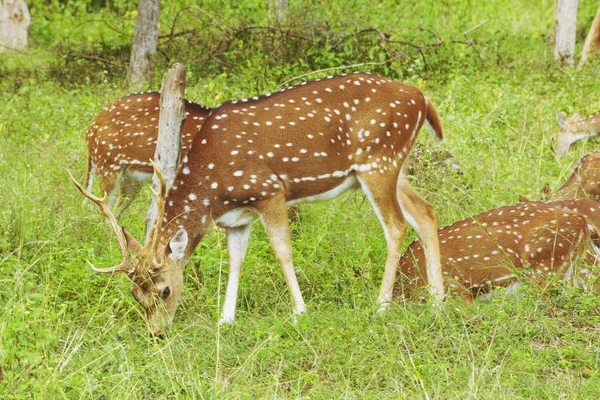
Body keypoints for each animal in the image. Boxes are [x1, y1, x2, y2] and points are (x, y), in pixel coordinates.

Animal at [71, 72, 446, 338]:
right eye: (136, 295)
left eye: (164, 290)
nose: (156, 334)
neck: (213, 188)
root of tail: (423, 98)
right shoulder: (238, 217)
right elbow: (236, 260)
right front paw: (226, 319)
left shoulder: (269, 191)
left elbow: (282, 251)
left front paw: (299, 312)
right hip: (395, 166)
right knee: (426, 212)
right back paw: (438, 301)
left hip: (378, 161)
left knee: (396, 226)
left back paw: (381, 305)